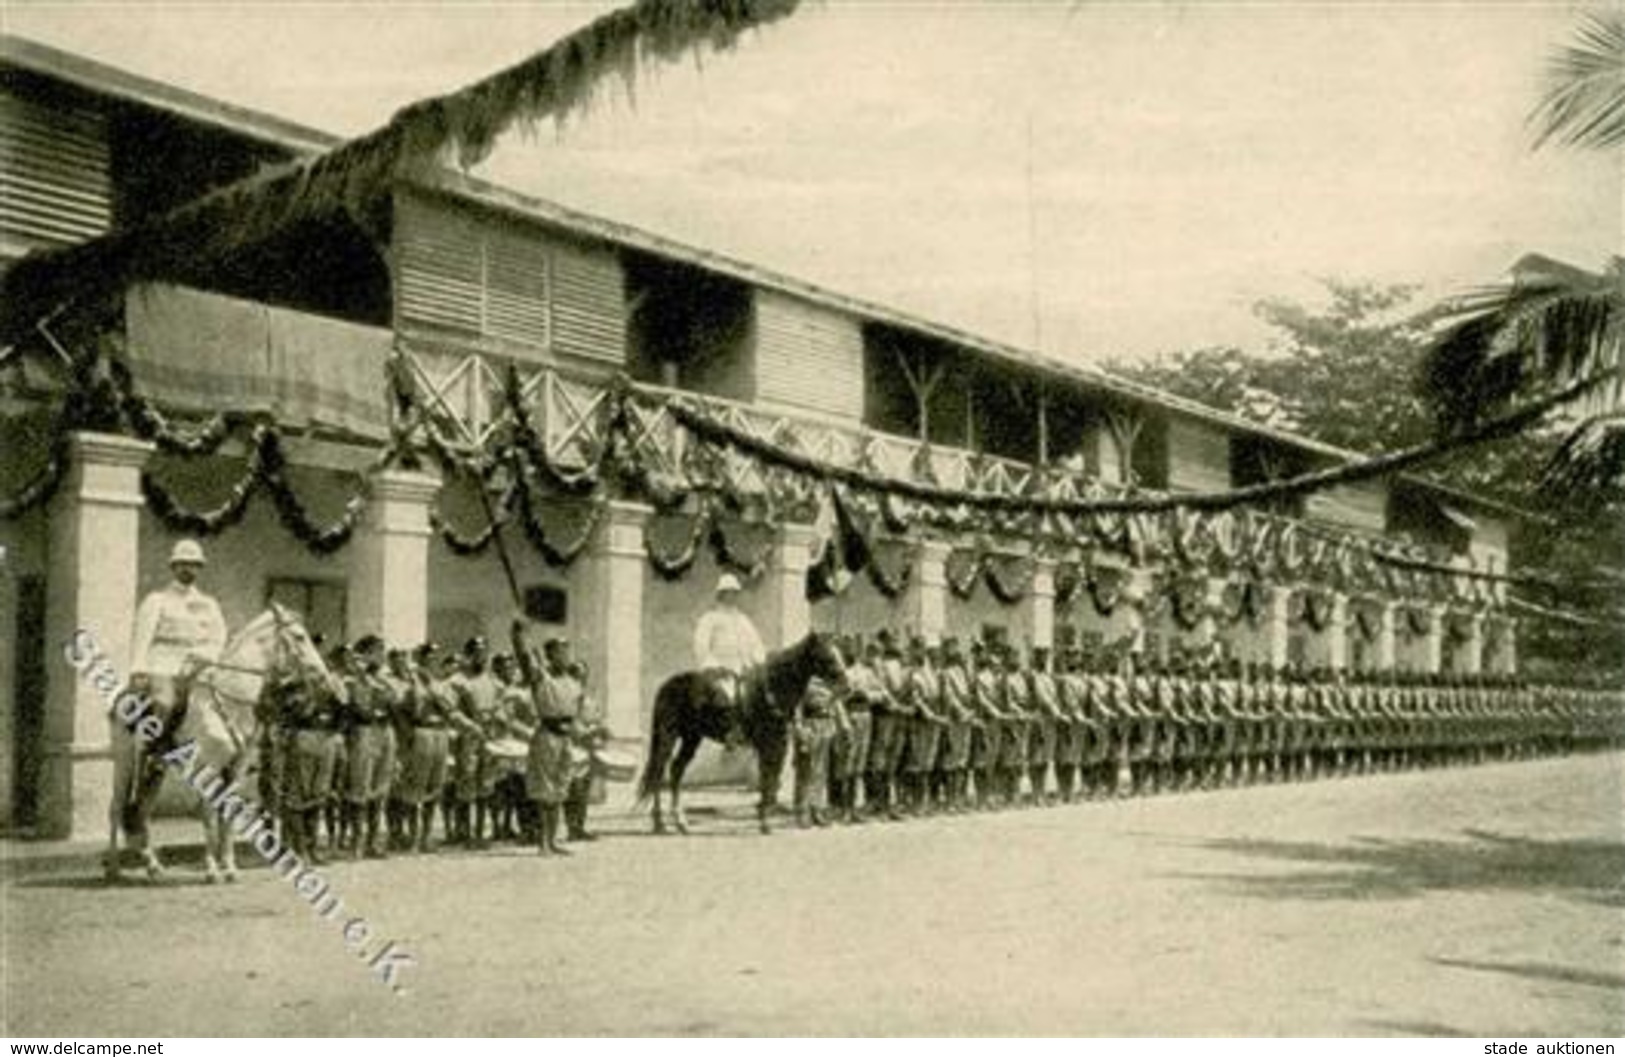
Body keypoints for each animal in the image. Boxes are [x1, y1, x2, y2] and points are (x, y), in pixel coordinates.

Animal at [105, 601, 336, 878]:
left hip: (156, 767)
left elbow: (229, 811)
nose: (325, 680)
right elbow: (207, 812)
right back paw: (113, 868)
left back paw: (153, 865)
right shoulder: (209, 765)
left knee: (142, 810)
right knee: (116, 807)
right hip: (125, 760)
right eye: (300, 637)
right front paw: (212, 869)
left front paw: (229, 866)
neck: (230, 699)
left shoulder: (237, 767)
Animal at [633, 630, 845, 832]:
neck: (773, 690)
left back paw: (680, 822)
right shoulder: (769, 744)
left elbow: (770, 778)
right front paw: (765, 822)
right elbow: (767, 779)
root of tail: (668, 685)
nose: (844, 680)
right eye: (826, 654)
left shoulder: (778, 744)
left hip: (691, 737)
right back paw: (659, 823)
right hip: (668, 736)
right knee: (659, 771)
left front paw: (765, 816)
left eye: (837, 651)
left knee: (676, 769)